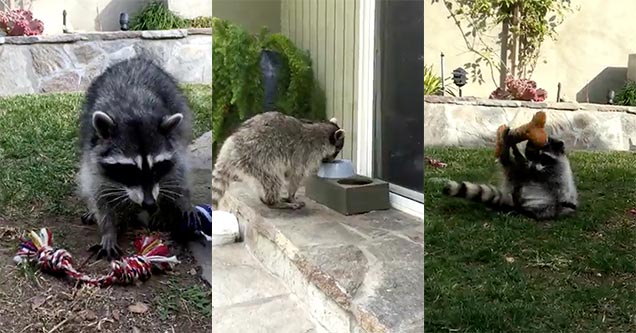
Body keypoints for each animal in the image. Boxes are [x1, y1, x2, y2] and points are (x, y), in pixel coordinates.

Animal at [78, 56, 195, 260]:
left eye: (156, 169)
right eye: (130, 171)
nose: (149, 204)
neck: (133, 114)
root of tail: (133, 59)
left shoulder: (174, 146)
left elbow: (178, 173)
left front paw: (179, 201)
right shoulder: (92, 154)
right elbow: (99, 193)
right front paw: (108, 229)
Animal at [212, 113, 342, 209]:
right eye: (337, 150)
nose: (331, 161)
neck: (320, 130)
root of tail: (231, 144)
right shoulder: (306, 154)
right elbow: (296, 175)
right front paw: (291, 196)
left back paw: (265, 199)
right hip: (257, 158)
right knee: (273, 179)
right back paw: (273, 202)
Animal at [442, 129, 576, 220]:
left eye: (544, 158)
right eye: (531, 154)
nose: (532, 166)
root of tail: (517, 203)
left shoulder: (556, 174)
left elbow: (555, 186)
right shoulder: (526, 170)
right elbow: (519, 167)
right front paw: (514, 150)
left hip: (546, 204)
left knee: (548, 205)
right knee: (509, 166)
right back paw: (505, 150)